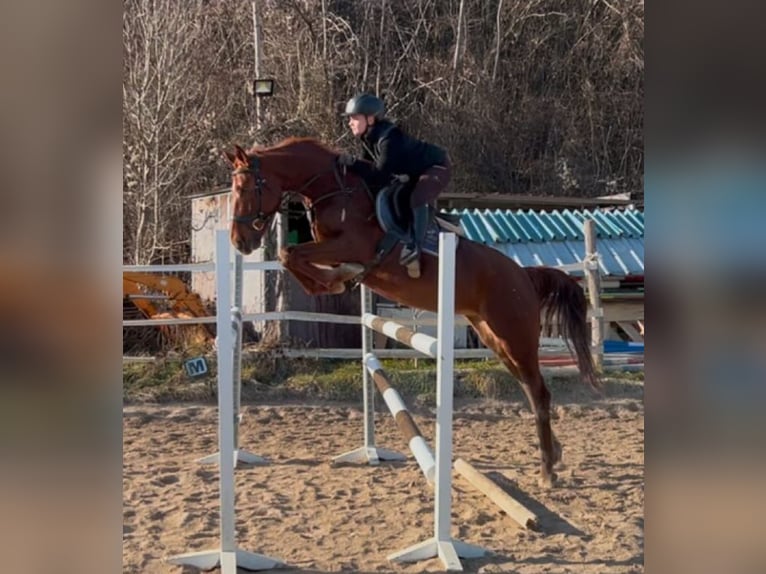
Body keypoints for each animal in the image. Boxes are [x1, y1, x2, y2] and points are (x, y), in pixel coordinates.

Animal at [225, 137, 604, 488]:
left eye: (244, 189)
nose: (239, 242)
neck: (335, 189)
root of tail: (524, 275)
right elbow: (294, 257)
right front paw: (337, 279)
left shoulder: (353, 245)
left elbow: (291, 253)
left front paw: (337, 280)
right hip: (495, 339)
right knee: (530, 388)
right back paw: (554, 453)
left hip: (516, 337)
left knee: (539, 392)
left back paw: (547, 471)